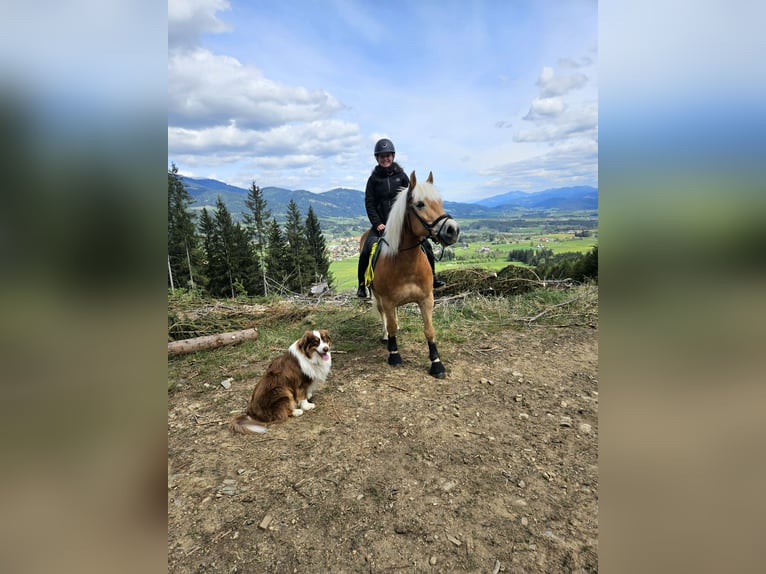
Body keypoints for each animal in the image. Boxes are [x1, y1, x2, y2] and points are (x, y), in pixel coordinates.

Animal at [362, 170, 462, 378]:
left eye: (439, 201)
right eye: (420, 204)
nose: (453, 230)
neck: (405, 263)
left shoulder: (426, 299)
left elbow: (429, 330)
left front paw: (437, 364)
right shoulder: (388, 300)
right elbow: (390, 324)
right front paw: (394, 355)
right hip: (377, 294)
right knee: (383, 314)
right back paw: (386, 336)